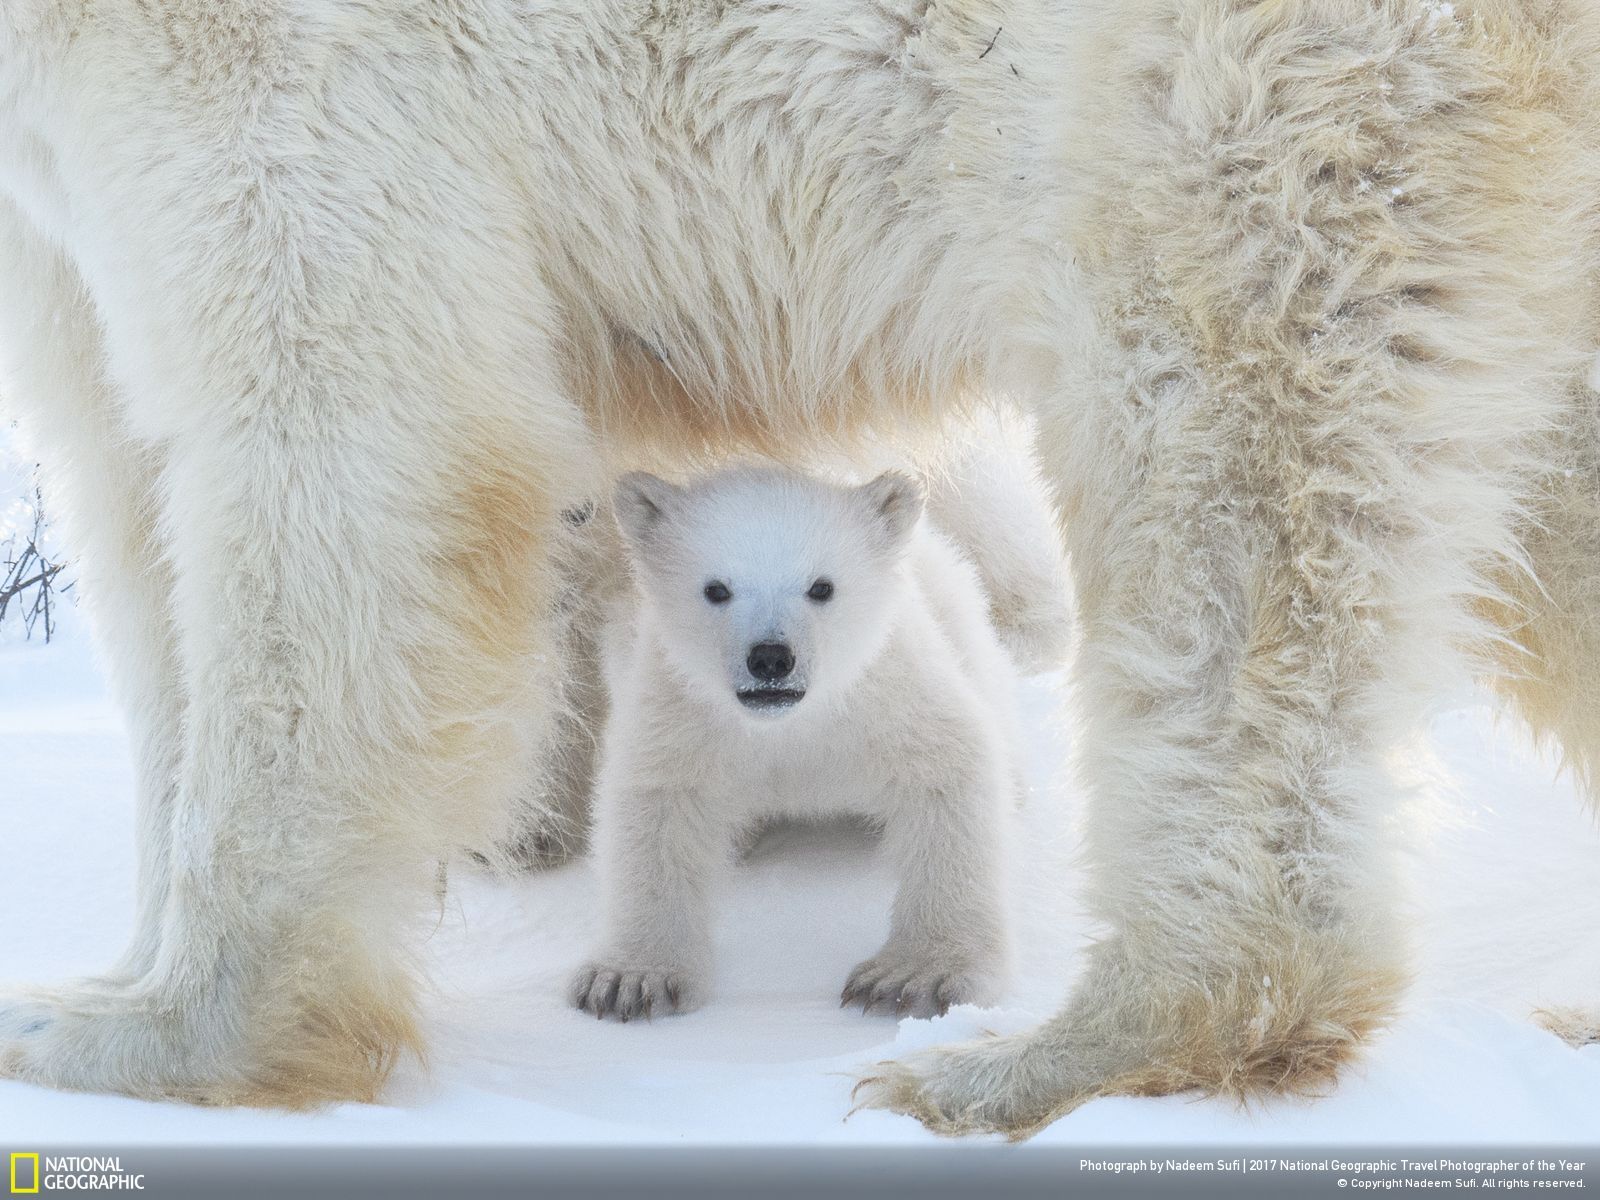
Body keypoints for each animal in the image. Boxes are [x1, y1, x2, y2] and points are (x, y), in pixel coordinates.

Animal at [0, 0, 1593, 1139]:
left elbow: (351, 439)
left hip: (1244, 97)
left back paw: (1042, 1058)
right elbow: (128, 492)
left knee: (1221, 467)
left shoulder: (295, 70)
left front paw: (141, 1035)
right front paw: (98, 980)